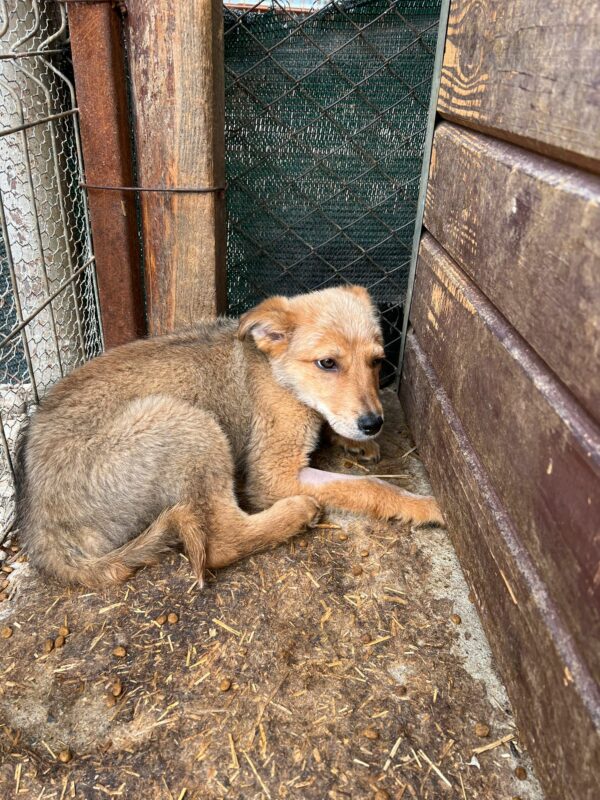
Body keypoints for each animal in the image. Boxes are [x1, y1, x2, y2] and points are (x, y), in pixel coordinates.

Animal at [15, 282, 446, 588]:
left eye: (377, 361)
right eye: (327, 363)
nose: (374, 423)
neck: (276, 372)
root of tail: (41, 528)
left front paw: (356, 441)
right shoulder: (274, 473)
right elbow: (369, 486)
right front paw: (425, 505)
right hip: (190, 424)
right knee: (221, 541)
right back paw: (296, 512)